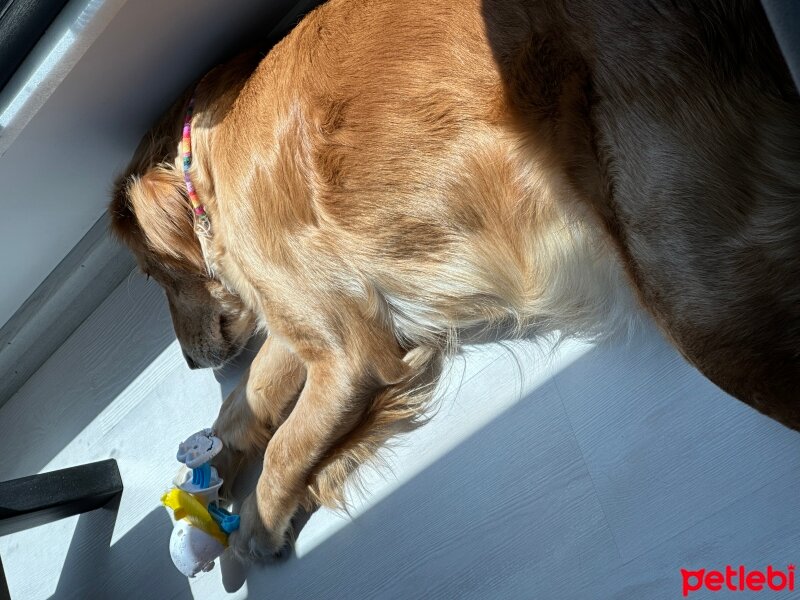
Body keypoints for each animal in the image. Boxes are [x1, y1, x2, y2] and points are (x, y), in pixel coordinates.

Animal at [108, 0, 800, 564]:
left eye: (152, 272)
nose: (189, 363)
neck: (207, 157)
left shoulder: (348, 354)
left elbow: (286, 443)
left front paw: (258, 523)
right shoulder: (304, 323)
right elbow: (248, 399)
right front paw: (215, 461)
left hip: (697, 291)